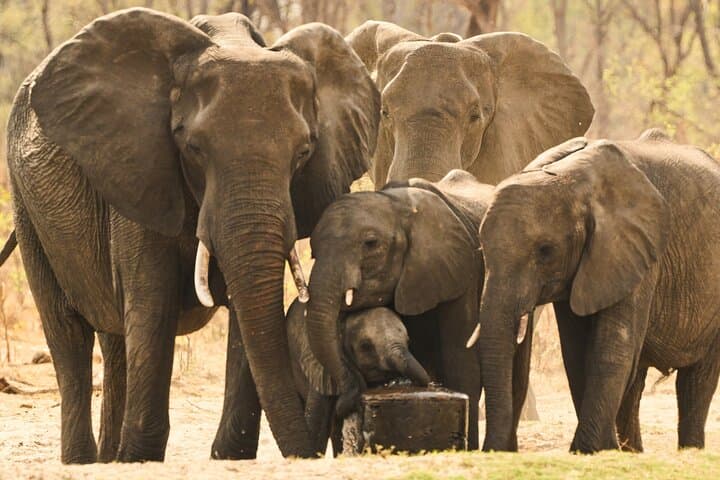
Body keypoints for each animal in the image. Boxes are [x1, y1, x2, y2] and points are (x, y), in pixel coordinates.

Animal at [4, 8, 378, 462]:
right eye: (194, 149)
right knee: (67, 330)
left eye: (304, 152)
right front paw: (141, 457)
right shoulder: (140, 169)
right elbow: (153, 302)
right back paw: (85, 460)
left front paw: (229, 456)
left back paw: (111, 457)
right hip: (27, 205)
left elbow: (245, 314)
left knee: (114, 337)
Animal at [303, 169, 534, 450]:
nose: (347, 402)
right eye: (312, 249)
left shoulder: (461, 272)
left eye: (370, 243)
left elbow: (461, 364)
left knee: (517, 378)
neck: (397, 206)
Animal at [470, 129, 720, 453]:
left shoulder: (635, 248)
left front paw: (589, 449)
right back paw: (632, 452)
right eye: (482, 250)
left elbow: (611, 347)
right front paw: (601, 450)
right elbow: (577, 352)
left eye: (545, 251)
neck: (571, 180)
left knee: (696, 381)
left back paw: (687, 451)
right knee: (638, 379)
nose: (498, 449)